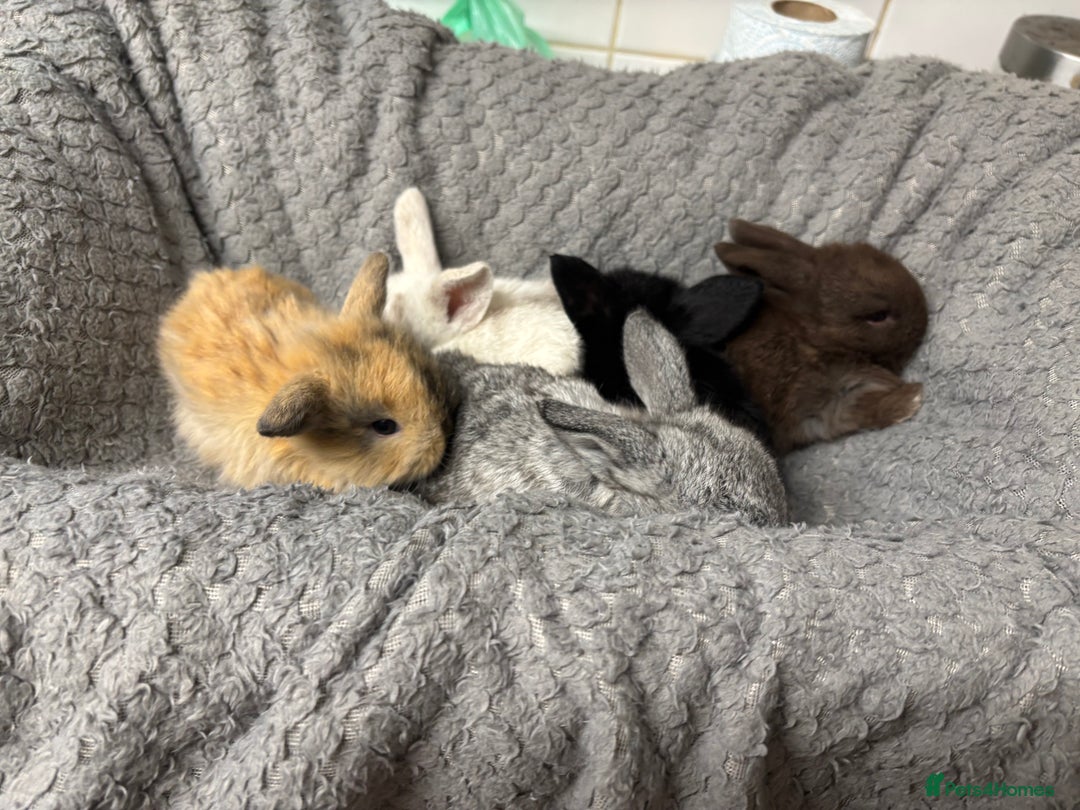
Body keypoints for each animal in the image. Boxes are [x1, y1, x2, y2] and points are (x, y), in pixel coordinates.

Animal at [714, 219, 929, 454]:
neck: (812, 341)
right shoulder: (820, 400)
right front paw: (912, 398)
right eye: (877, 316)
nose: (922, 321)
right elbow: (857, 412)